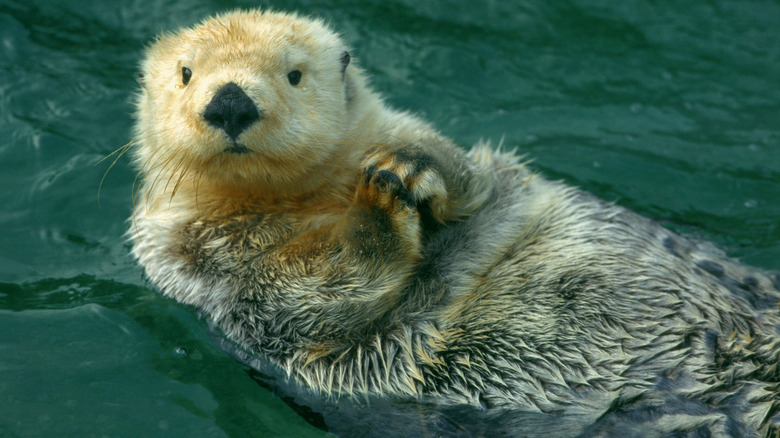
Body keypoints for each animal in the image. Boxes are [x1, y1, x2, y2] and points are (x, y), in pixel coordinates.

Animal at [129, 8, 780, 436]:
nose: (230, 101)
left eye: (294, 74)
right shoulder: (199, 257)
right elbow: (309, 294)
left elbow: (470, 178)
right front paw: (378, 207)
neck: (307, 201)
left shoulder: (450, 160)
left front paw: (407, 167)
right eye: (186, 73)